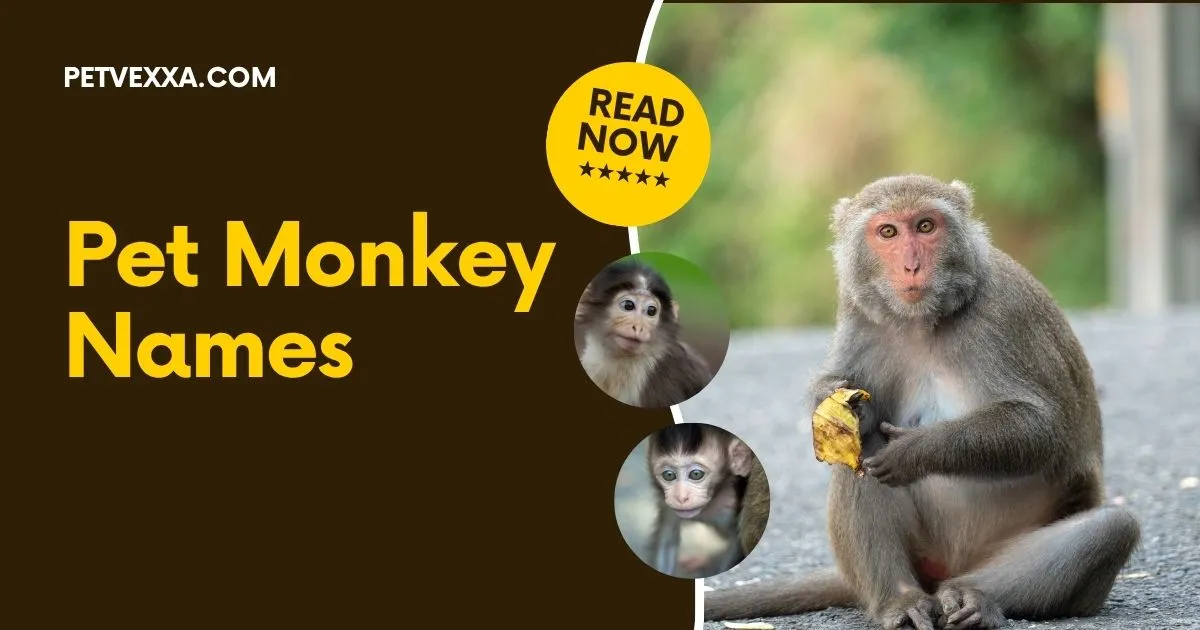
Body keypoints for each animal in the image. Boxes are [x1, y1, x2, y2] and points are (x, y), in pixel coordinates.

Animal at [642, 422, 768, 578]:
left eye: (696, 474)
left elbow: (735, 544)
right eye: (669, 475)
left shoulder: (729, 504)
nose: (681, 497)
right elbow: (667, 537)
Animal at [705, 174, 1140, 630]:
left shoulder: (1004, 316)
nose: (912, 266)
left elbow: (1042, 431)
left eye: (926, 226)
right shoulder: (862, 318)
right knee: (858, 452)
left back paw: (974, 596)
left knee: (1112, 527)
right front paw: (836, 404)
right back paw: (900, 600)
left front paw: (916, 450)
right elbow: (846, 416)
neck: (924, 322)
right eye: (888, 232)